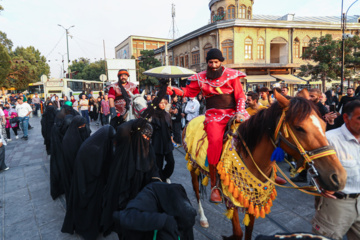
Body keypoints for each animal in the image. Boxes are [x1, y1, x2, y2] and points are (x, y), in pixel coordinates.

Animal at [184, 90, 348, 240]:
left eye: (324, 125)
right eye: (299, 127)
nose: (338, 177)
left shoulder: (253, 199)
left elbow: (249, 231)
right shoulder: (231, 197)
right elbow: (238, 233)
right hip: (192, 166)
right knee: (196, 192)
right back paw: (203, 217)